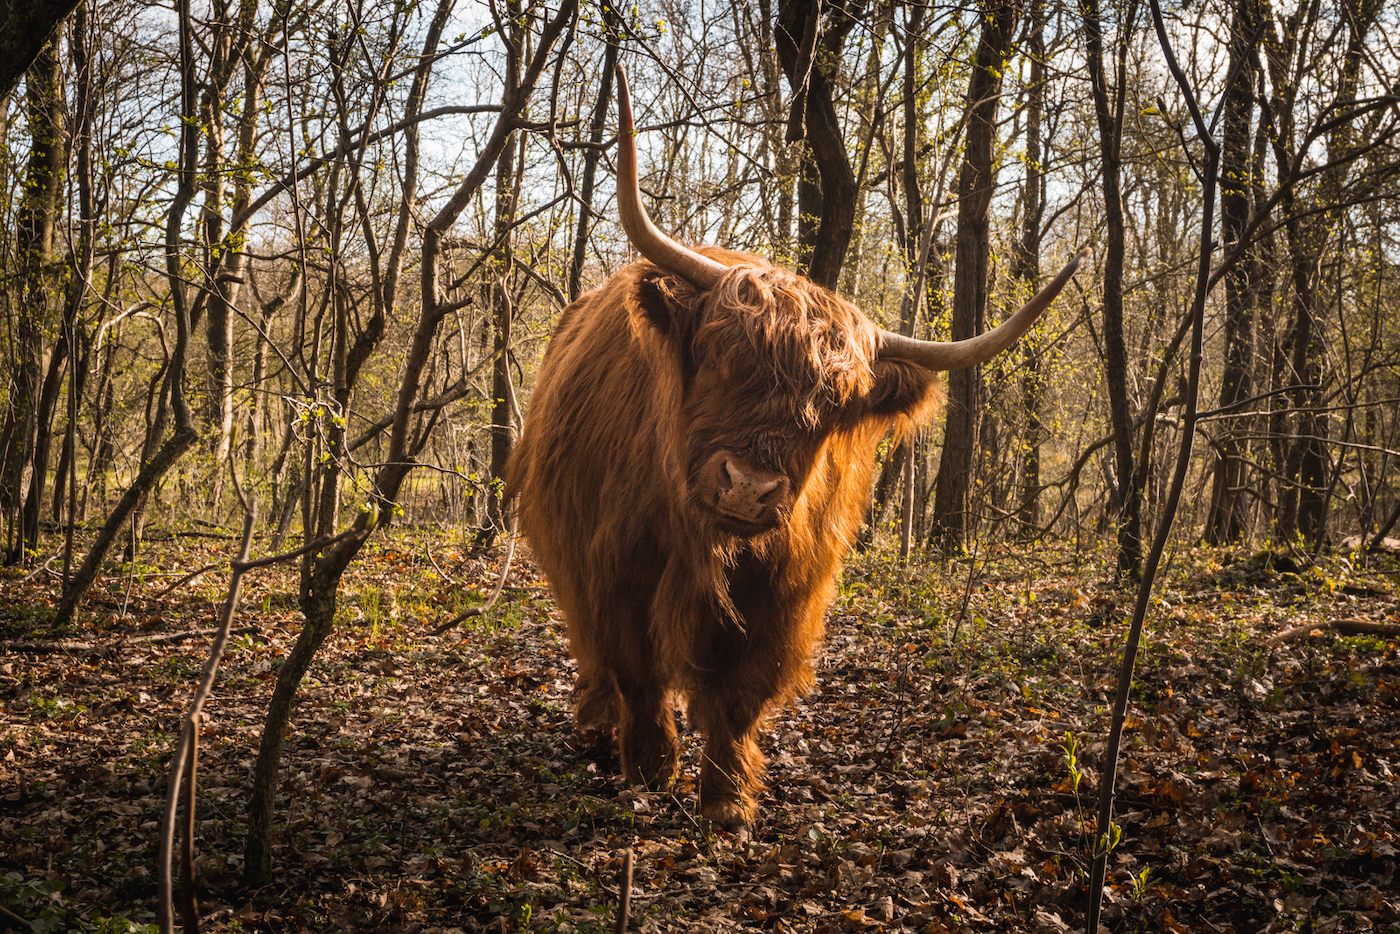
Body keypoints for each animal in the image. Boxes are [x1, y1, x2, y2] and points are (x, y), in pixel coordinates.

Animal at [509, 67, 1086, 823]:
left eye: (833, 407)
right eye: (721, 358)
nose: (749, 488)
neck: (706, 545)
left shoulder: (784, 593)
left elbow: (738, 701)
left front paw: (727, 804)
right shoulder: (613, 572)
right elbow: (637, 674)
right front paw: (653, 770)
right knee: (597, 663)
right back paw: (598, 730)